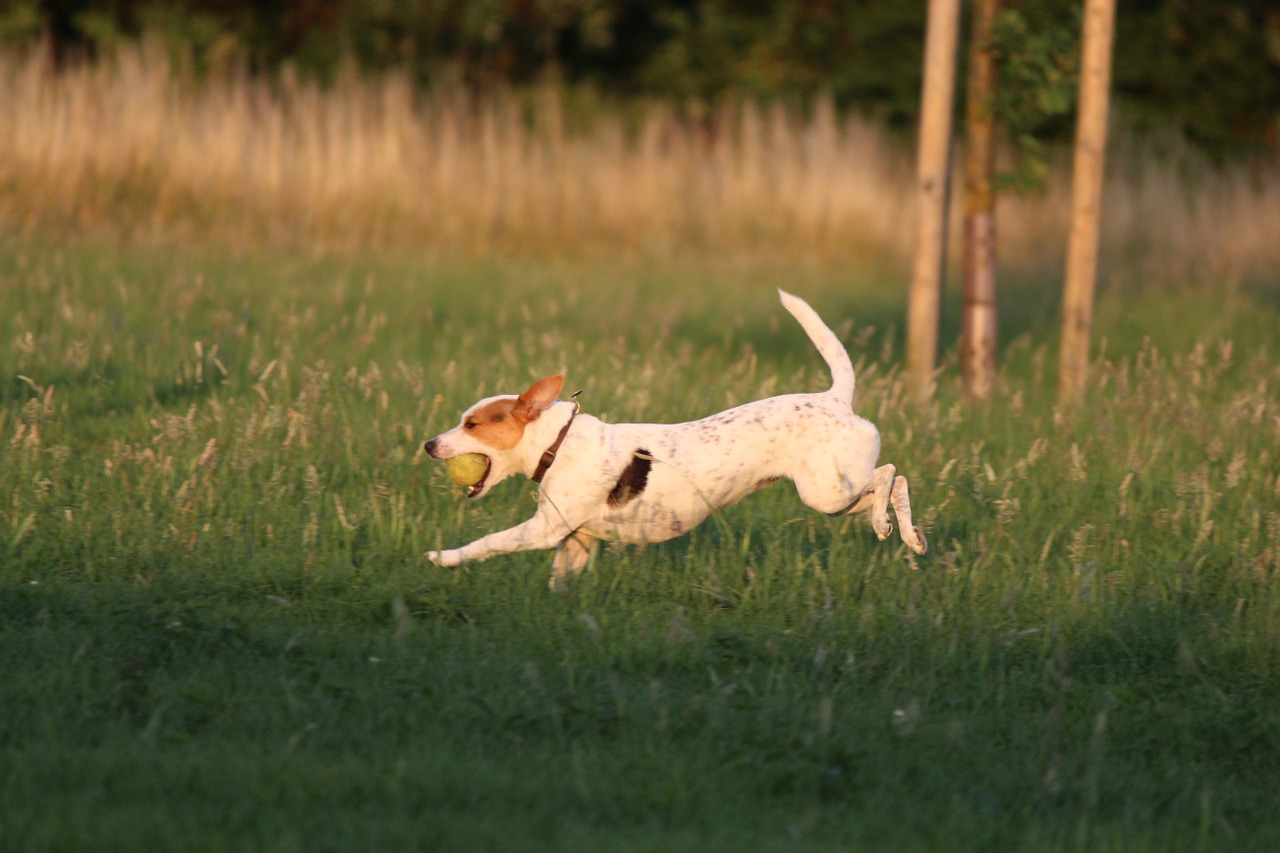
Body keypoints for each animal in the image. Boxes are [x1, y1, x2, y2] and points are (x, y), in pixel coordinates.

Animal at [424, 290, 926, 584]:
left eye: (471, 424)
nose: (429, 445)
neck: (557, 442)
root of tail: (837, 397)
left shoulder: (542, 532)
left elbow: (487, 543)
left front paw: (443, 557)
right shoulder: (576, 542)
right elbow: (559, 583)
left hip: (826, 492)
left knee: (888, 473)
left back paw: (885, 524)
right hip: (836, 497)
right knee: (894, 483)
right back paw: (907, 535)